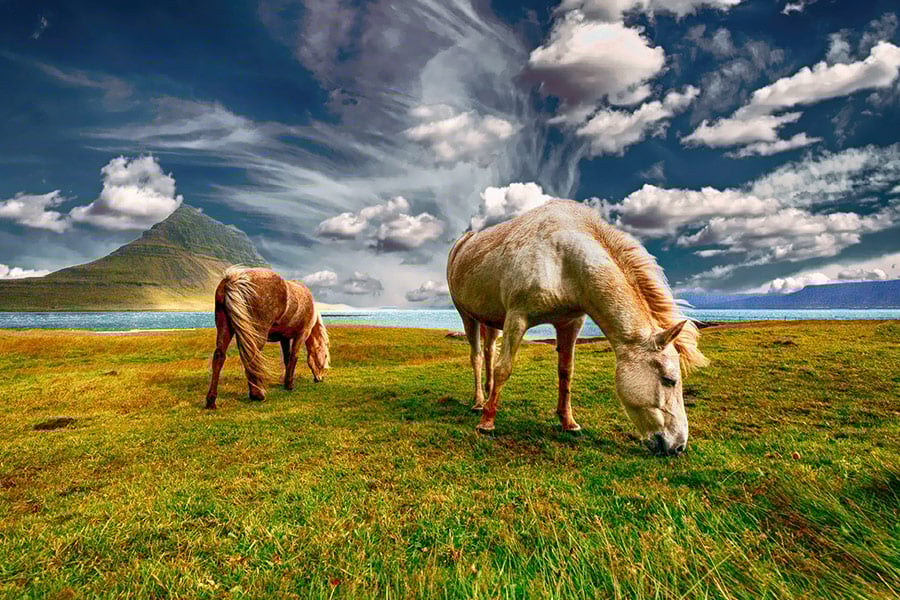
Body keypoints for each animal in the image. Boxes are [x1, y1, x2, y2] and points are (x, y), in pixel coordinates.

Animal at [205, 267, 330, 409]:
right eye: (325, 356)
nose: (320, 378)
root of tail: (234, 280)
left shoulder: (284, 338)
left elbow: (287, 359)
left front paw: (286, 382)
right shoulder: (302, 334)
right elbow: (294, 357)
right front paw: (290, 385)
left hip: (225, 328)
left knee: (219, 356)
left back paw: (211, 401)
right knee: (251, 356)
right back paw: (257, 395)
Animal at [446, 199, 707, 456]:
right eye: (669, 380)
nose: (678, 446)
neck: (564, 260)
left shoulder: (570, 323)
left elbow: (566, 372)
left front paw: (568, 422)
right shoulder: (517, 318)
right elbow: (504, 369)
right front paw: (487, 422)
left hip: (492, 320)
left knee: (489, 352)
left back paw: (488, 395)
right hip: (467, 316)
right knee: (478, 357)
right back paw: (479, 403)